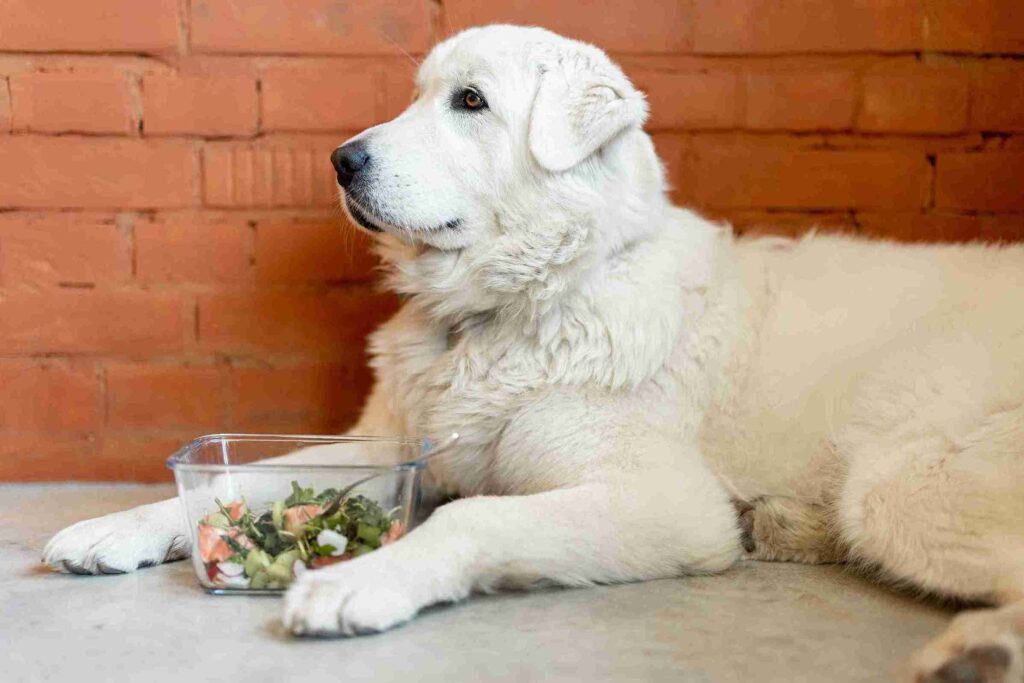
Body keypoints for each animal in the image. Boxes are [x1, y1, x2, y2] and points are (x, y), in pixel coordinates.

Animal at [46, 24, 1024, 679]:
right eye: (418, 95)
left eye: (470, 102)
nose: (340, 160)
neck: (500, 312)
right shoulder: (385, 443)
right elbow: (238, 474)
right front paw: (118, 526)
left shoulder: (667, 502)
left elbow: (472, 516)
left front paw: (360, 579)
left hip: (899, 480)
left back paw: (976, 647)